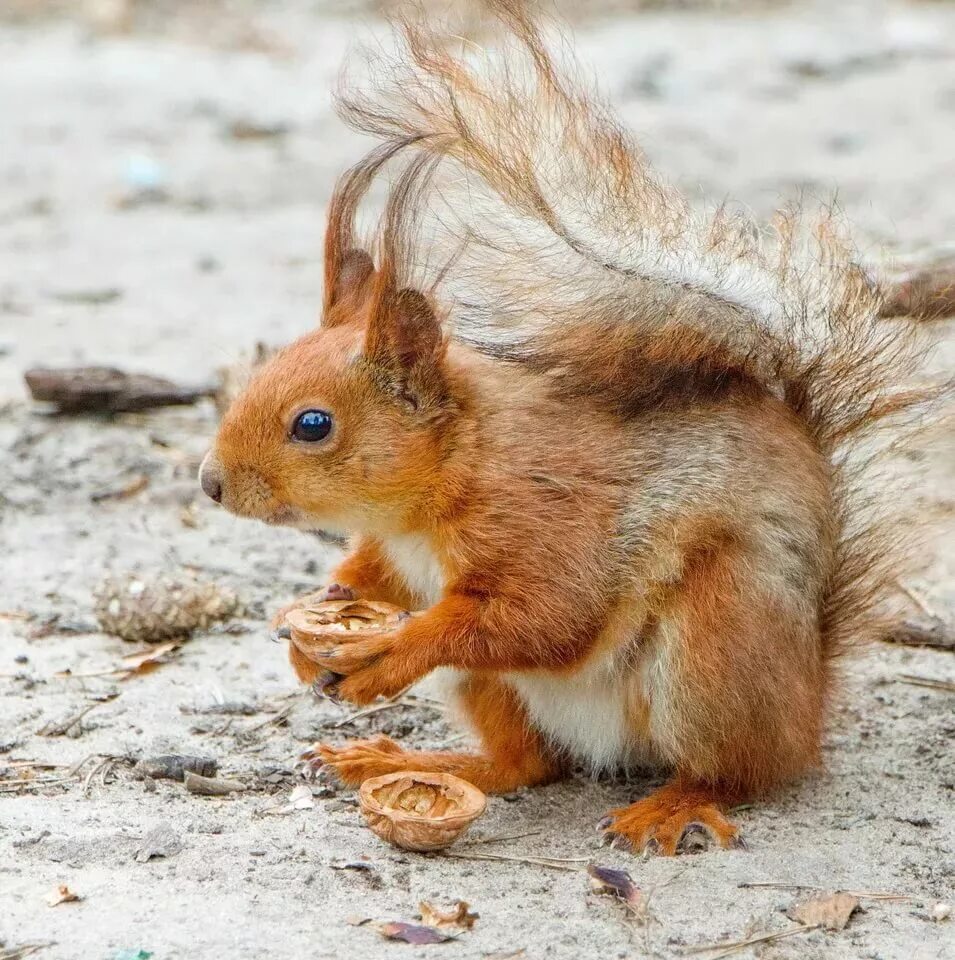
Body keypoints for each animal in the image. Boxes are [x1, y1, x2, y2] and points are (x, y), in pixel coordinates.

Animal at [198, 1, 936, 856]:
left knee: (740, 773)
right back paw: (401, 760)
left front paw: (392, 651)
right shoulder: (399, 550)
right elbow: (376, 578)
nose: (211, 484)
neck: (443, 480)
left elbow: (541, 617)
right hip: (502, 692)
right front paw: (316, 613)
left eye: (313, 424)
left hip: (715, 644)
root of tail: (808, 702)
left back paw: (673, 806)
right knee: (528, 765)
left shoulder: (546, 518)